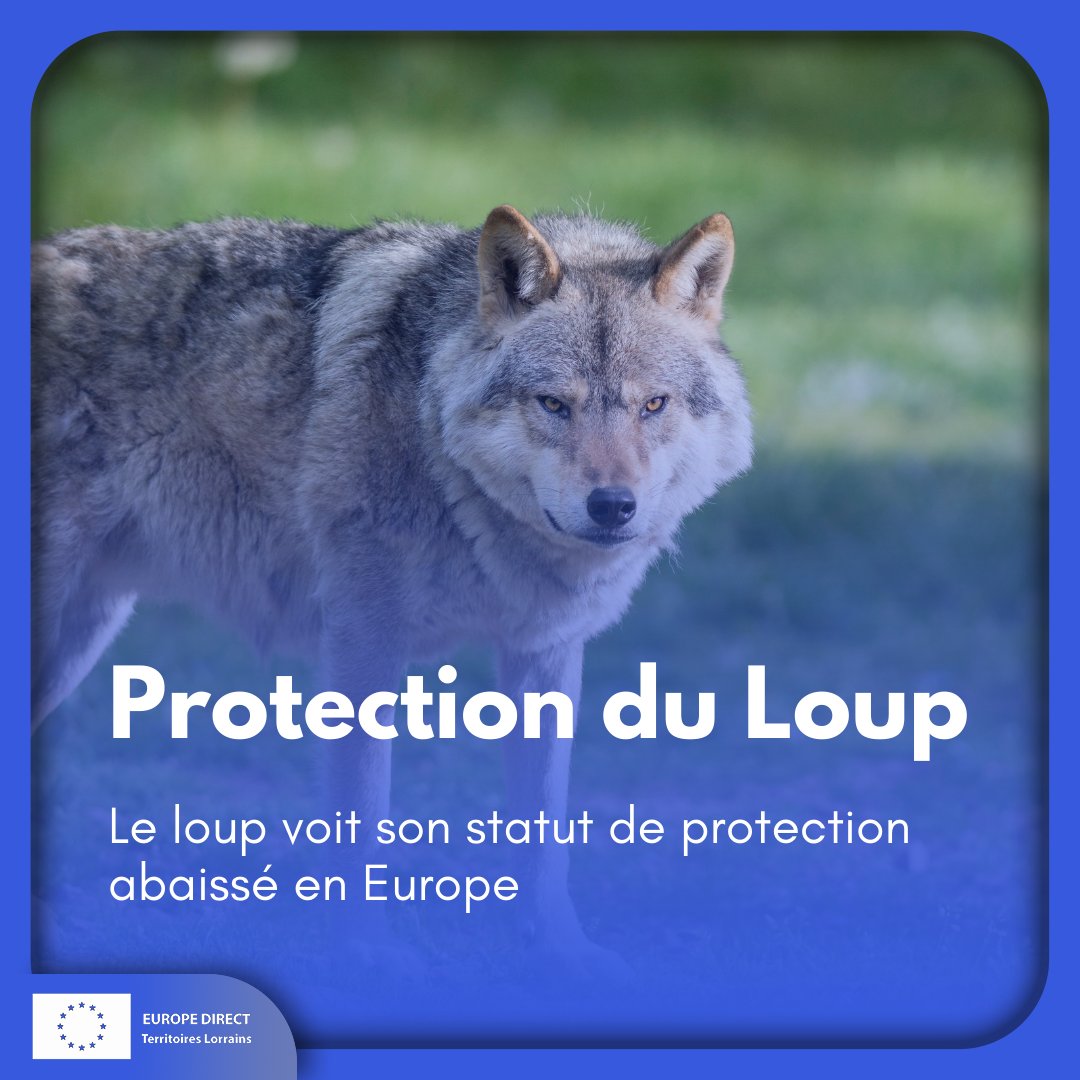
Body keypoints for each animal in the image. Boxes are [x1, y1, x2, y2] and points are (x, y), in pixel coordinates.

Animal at [31, 205, 752, 965]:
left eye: (654, 405)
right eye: (554, 404)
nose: (613, 506)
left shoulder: (544, 654)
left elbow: (543, 834)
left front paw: (561, 951)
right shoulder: (362, 642)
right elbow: (361, 815)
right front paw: (366, 953)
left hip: (80, 634)